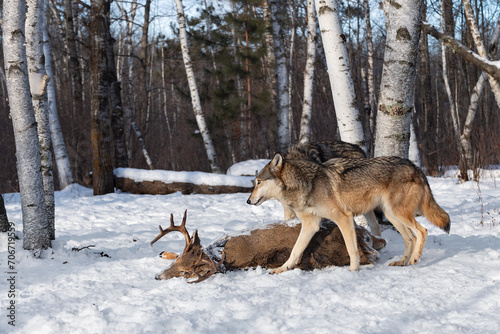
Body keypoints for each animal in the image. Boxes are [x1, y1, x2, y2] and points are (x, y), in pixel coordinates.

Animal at [248, 141, 452, 274]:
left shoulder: (344, 218)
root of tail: (414, 166)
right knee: (410, 238)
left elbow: (352, 249)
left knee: (422, 231)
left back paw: (415, 258)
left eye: (258, 182)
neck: (306, 185)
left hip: (398, 214)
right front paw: (283, 268)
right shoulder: (310, 225)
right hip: (392, 215)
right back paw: (403, 262)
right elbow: (295, 250)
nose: (248, 201)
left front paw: (353, 271)